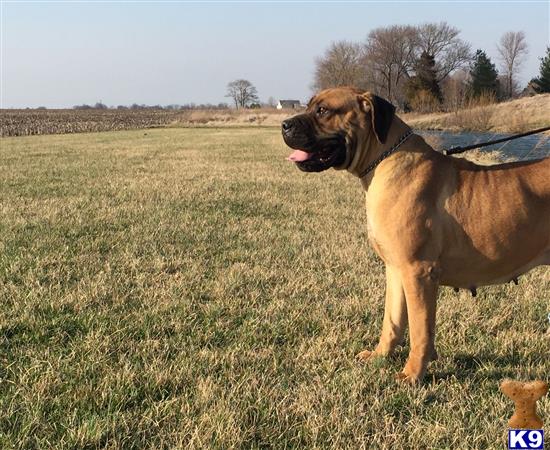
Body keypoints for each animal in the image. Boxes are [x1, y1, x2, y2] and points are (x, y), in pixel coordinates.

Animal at [282, 87, 550, 384]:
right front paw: (381, 356)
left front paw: (412, 375)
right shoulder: (396, 269)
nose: (284, 125)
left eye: (323, 111)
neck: (384, 159)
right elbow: (392, 320)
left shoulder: (418, 272)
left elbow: (420, 330)